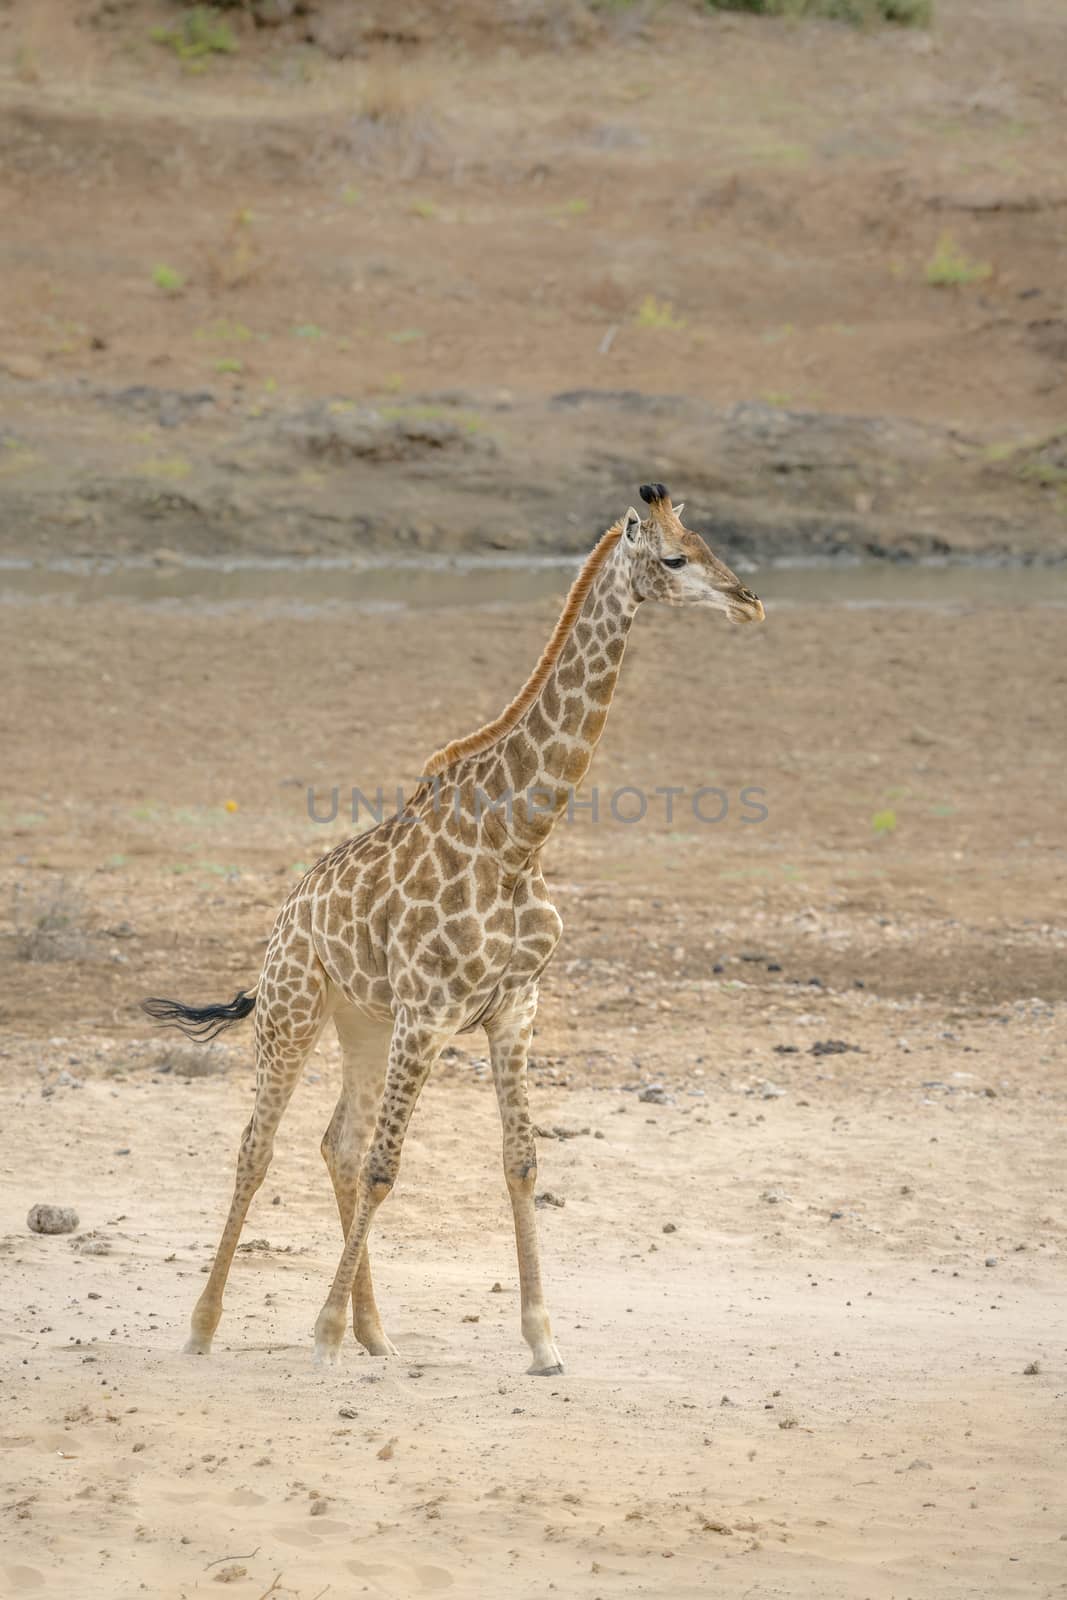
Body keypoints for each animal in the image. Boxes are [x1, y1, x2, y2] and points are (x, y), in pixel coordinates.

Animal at [141, 486, 764, 1376]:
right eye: (674, 557)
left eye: (708, 541)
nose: (748, 601)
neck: (517, 841)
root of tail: (287, 912)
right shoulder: (432, 1014)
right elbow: (385, 1169)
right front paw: (321, 1335)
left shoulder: (514, 1011)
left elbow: (520, 1162)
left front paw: (541, 1340)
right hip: (296, 1008)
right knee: (260, 1148)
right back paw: (205, 1327)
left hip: (364, 1022)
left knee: (335, 1143)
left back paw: (374, 1331)